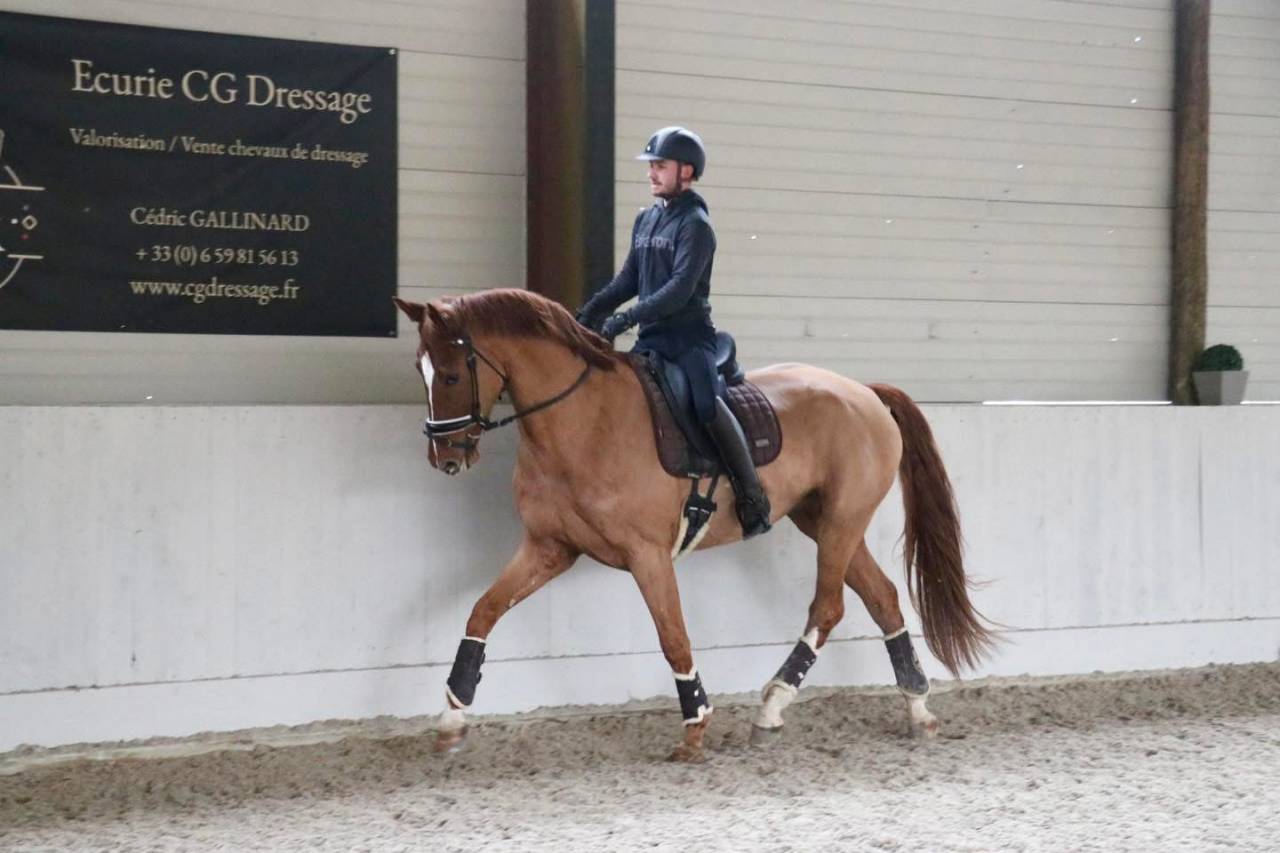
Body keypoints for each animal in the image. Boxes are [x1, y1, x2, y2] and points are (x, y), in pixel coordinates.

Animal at [393, 288, 994, 762]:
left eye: (451, 373)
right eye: (420, 371)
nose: (446, 458)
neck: (581, 423)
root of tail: (864, 392)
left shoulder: (647, 555)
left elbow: (673, 636)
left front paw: (695, 727)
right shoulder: (549, 548)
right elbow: (483, 611)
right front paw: (451, 719)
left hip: (842, 521)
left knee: (828, 608)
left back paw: (771, 708)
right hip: (824, 522)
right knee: (883, 599)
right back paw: (917, 708)